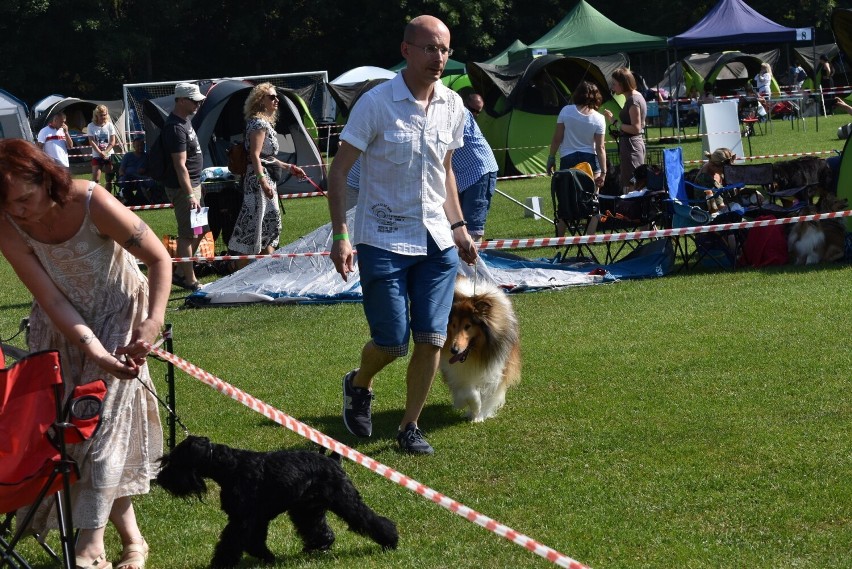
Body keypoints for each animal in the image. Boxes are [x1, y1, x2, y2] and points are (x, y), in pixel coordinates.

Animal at [157, 434, 400, 564]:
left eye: (176, 461)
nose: (161, 479)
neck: (229, 466)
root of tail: (333, 460)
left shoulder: (243, 519)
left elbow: (232, 542)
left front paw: (221, 564)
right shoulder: (254, 519)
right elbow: (254, 541)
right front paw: (267, 557)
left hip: (344, 500)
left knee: (368, 518)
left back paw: (391, 540)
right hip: (307, 509)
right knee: (319, 529)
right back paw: (318, 546)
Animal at [440, 276, 520, 422]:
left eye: (468, 326)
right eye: (453, 325)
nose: (453, 350)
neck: (475, 354)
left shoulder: (495, 369)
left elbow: (486, 394)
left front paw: (479, 415)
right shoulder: (456, 371)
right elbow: (468, 391)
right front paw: (467, 405)